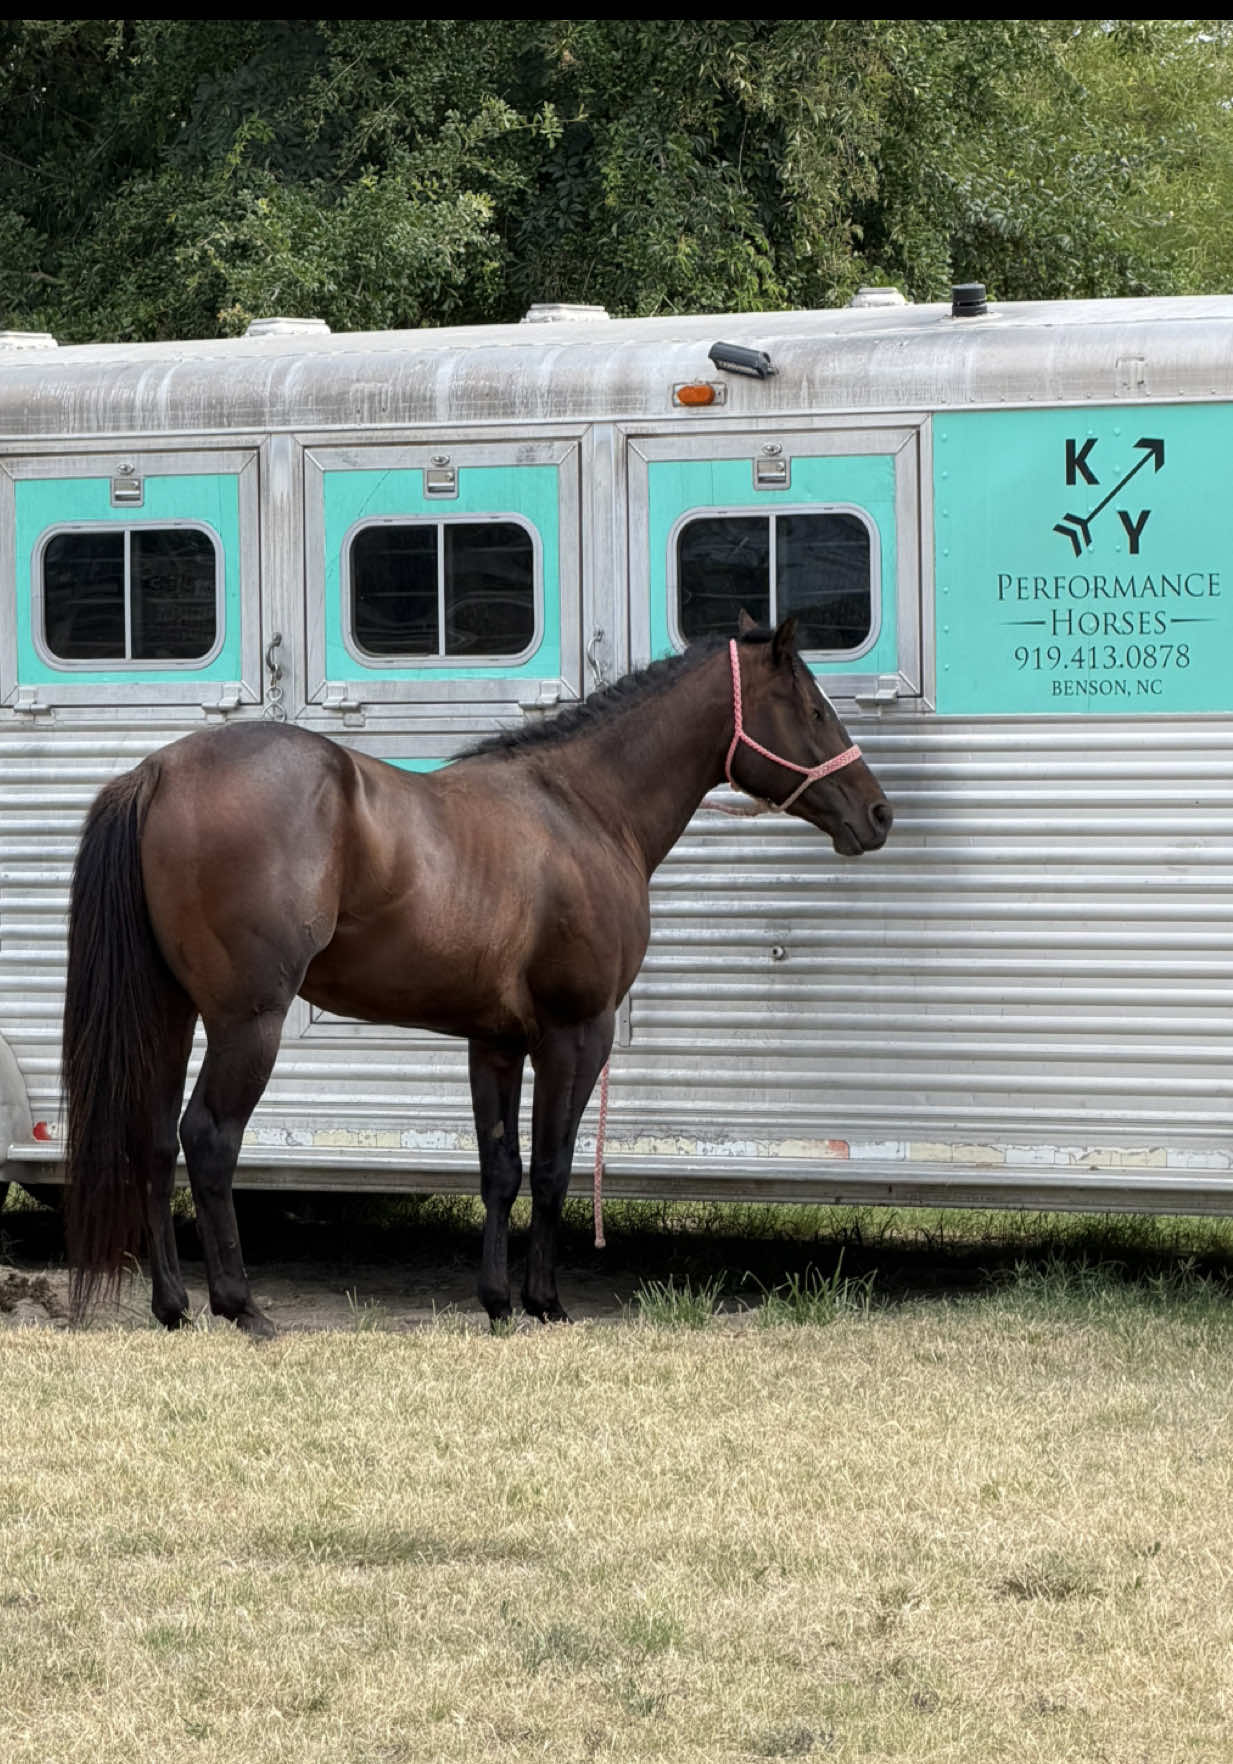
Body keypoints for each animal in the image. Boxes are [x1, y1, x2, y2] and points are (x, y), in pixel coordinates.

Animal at [63, 614, 892, 1335]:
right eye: (813, 709)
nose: (878, 814)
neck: (583, 809)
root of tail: (159, 772)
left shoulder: (494, 1041)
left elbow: (500, 1169)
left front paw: (496, 1302)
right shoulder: (574, 1034)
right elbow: (553, 1169)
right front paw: (545, 1303)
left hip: (172, 1015)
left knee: (153, 1141)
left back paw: (172, 1306)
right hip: (248, 1023)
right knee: (208, 1139)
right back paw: (242, 1308)